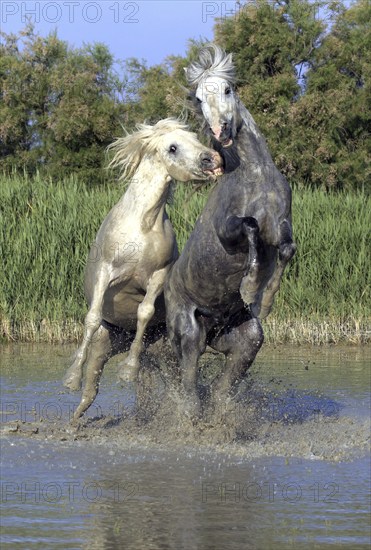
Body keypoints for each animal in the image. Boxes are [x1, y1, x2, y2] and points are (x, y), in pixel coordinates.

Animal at [64, 119, 224, 422]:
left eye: (195, 138)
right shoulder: (105, 270)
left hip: (160, 351)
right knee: (92, 385)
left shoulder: (158, 276)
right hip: (105, 343)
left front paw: (128, 370)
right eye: (173, 147)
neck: (141, 226)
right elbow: (92, 317)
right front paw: (70, 377)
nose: (212, 160)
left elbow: (145, 311)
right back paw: (74, 419)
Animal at [165, 45, 296, 418]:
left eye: (227, 89)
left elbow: (286, 249)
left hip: (243, 337)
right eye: (198, 99)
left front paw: (263, 298)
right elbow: (249, 226)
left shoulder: (280, 227)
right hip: (189, 332)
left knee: (227, 377)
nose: (220, 131)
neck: (255, 174)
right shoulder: (228, 230)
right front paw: (250, 285)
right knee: (188, 381)